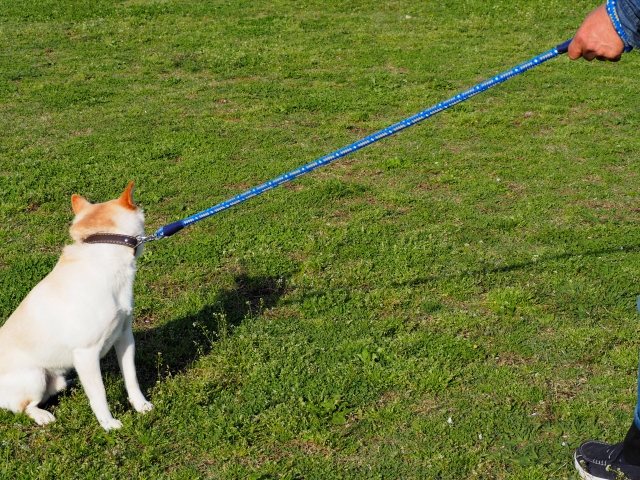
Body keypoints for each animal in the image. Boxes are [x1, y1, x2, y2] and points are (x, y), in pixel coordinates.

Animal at [0, 183, 152, 432]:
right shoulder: (86, 353)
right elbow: (99, 394)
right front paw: (109, 425)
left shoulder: (124, 337)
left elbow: (132, 378)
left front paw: (141, 406)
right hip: (35, 376)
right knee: (24, 407)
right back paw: (43, 416)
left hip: (55, 378)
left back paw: (71, 383)